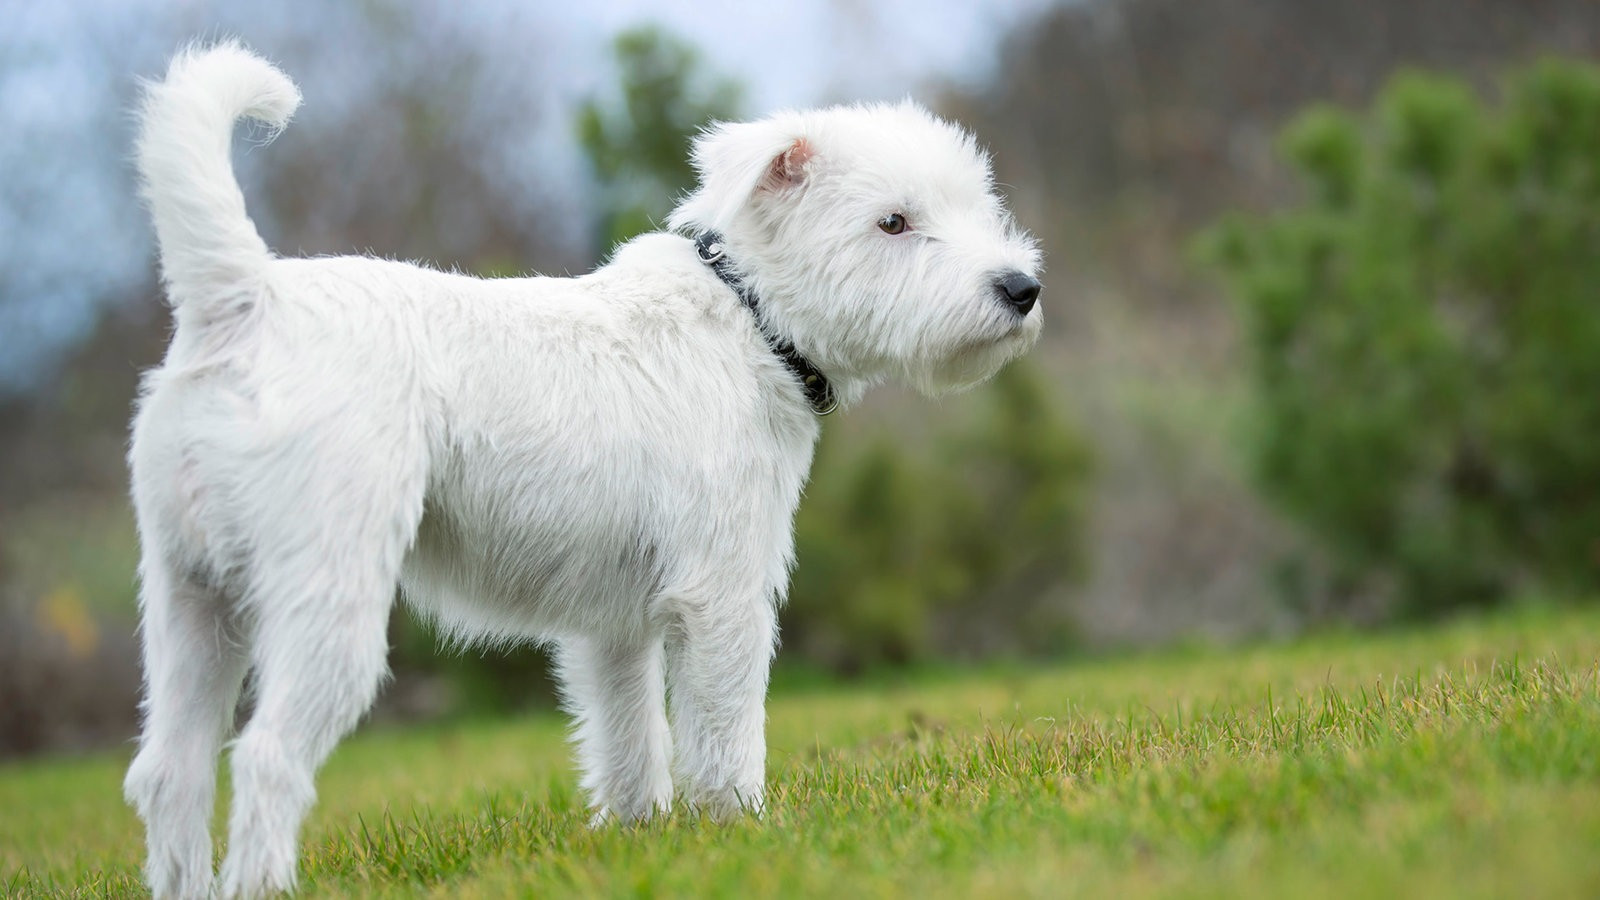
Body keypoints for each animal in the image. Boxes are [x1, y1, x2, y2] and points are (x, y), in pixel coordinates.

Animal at [128, 42, 1049, 896]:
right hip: (326, 606)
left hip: (191, 603)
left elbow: (630, 742)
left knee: (169, 773)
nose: (1021, 289)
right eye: (893, 222)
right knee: (265, 756)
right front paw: (741, 830)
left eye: (978, 204)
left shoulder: (613, 627)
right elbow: (723, 729)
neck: (744, 316)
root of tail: (240, 299)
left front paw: (640, 836)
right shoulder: (723, 595)